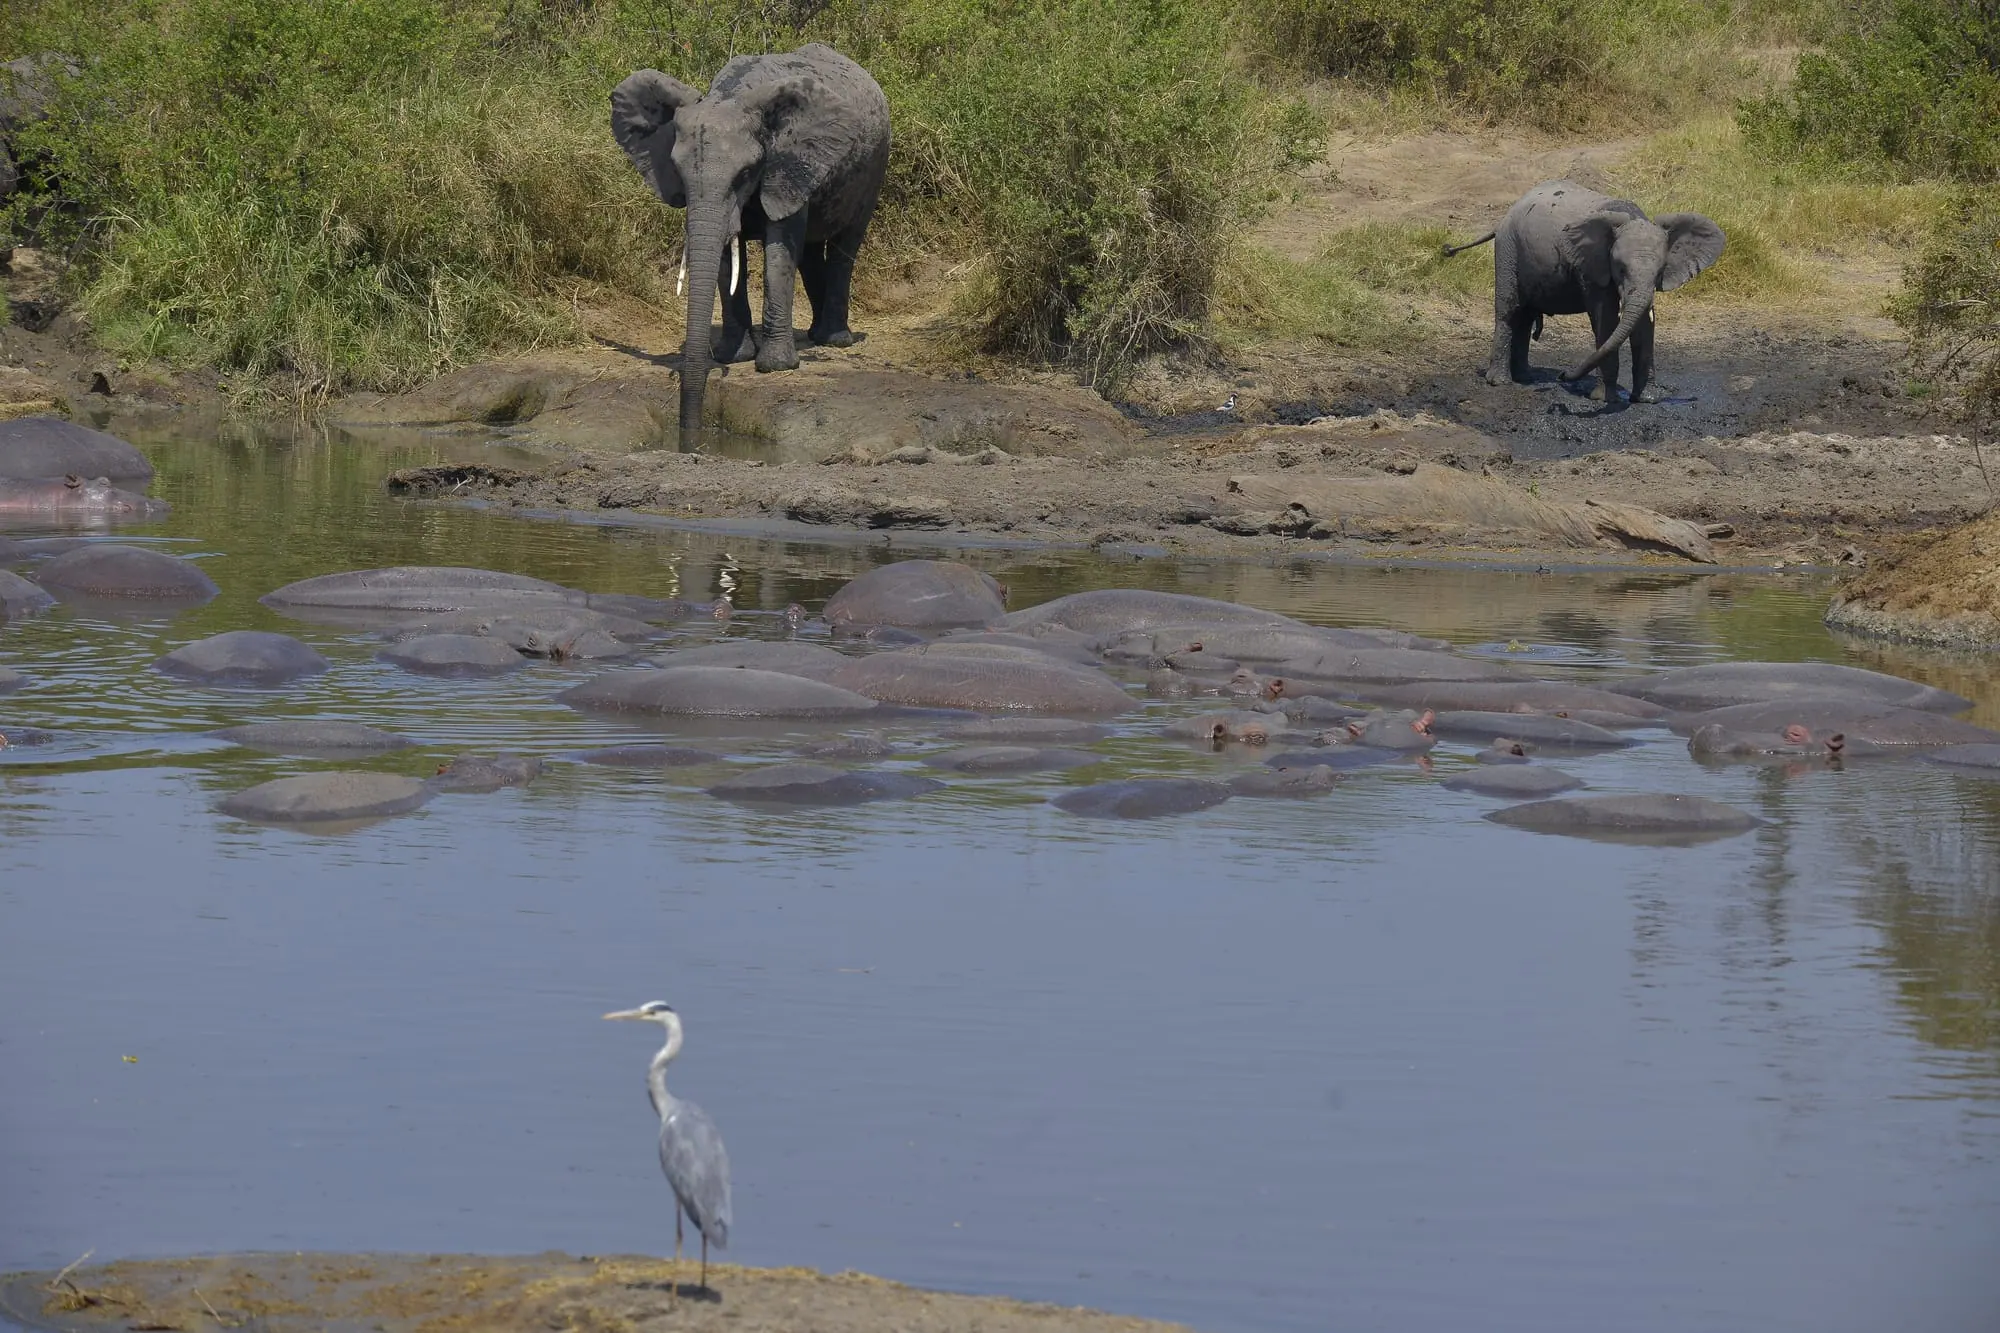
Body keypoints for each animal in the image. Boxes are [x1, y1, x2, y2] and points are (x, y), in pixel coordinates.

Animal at [610, 45, 891, 441]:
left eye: (745, 173)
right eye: (678, 172)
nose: (689, 435)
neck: (732, 94)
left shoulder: (787, 163)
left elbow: (780, 247)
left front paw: (775, 366)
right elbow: (728, 255)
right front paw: (734, 356)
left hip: (874, 167)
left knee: (844, 246)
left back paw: (834, 340)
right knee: (810, 254)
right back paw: (815, 335)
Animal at [1443, 181, 1725, 403]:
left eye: (1660, 272)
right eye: (1620, 269)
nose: (1561, 375)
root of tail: (1505, 216)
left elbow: (1645, 323)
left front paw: (1647, 400)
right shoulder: (1592, 267)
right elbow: (1606, 318)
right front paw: (1604, 399)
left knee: (1525, 316)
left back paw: (1526, 377)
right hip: (1507, 248)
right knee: (1509, 311)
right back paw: (1500, 382)